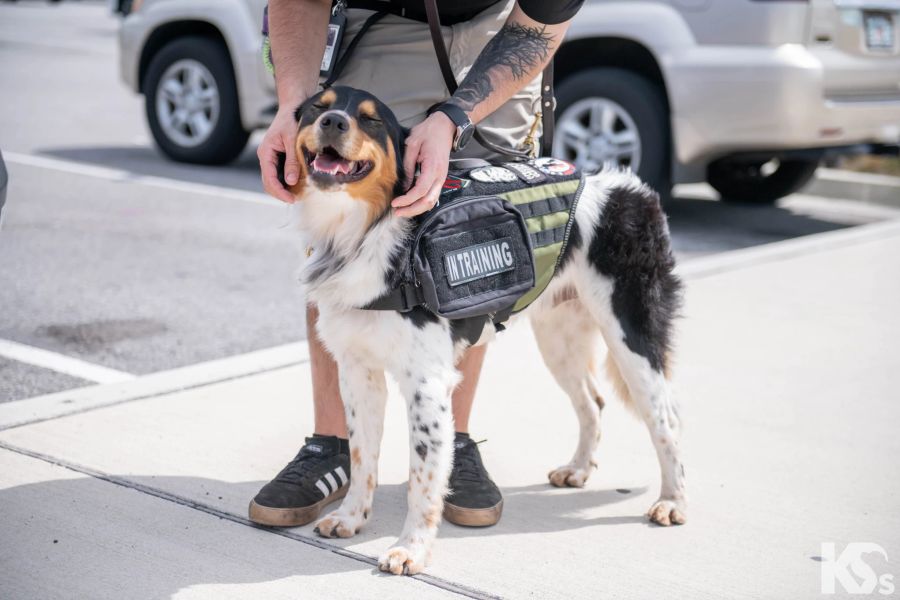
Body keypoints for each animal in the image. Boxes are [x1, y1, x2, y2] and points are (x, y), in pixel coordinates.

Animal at [284, 86, 684, 576]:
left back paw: (673, 500)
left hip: (631, 338)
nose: (334, 123)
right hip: (559, 338)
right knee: (592, 401)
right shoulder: (358, 372)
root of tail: (631, 188)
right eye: (318, 108)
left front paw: (411, 548)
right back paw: (578, 469)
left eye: (372, 120)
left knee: (665, 417)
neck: (361, 233)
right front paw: (351, 517)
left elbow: (423, 480)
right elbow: (363, 456)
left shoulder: (427, 385)